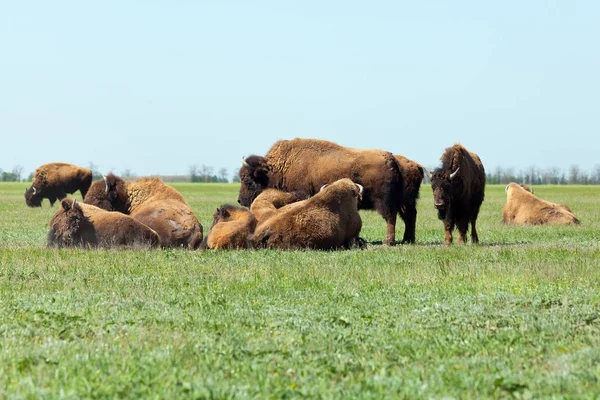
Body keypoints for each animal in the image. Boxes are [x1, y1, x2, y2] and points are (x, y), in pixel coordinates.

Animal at [238, 138, 404, 244]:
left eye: (247, 180)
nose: (240, 200)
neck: (281, 167)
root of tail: (391, 159)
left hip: (383, 202)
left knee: (390, 217)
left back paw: (388, 241)